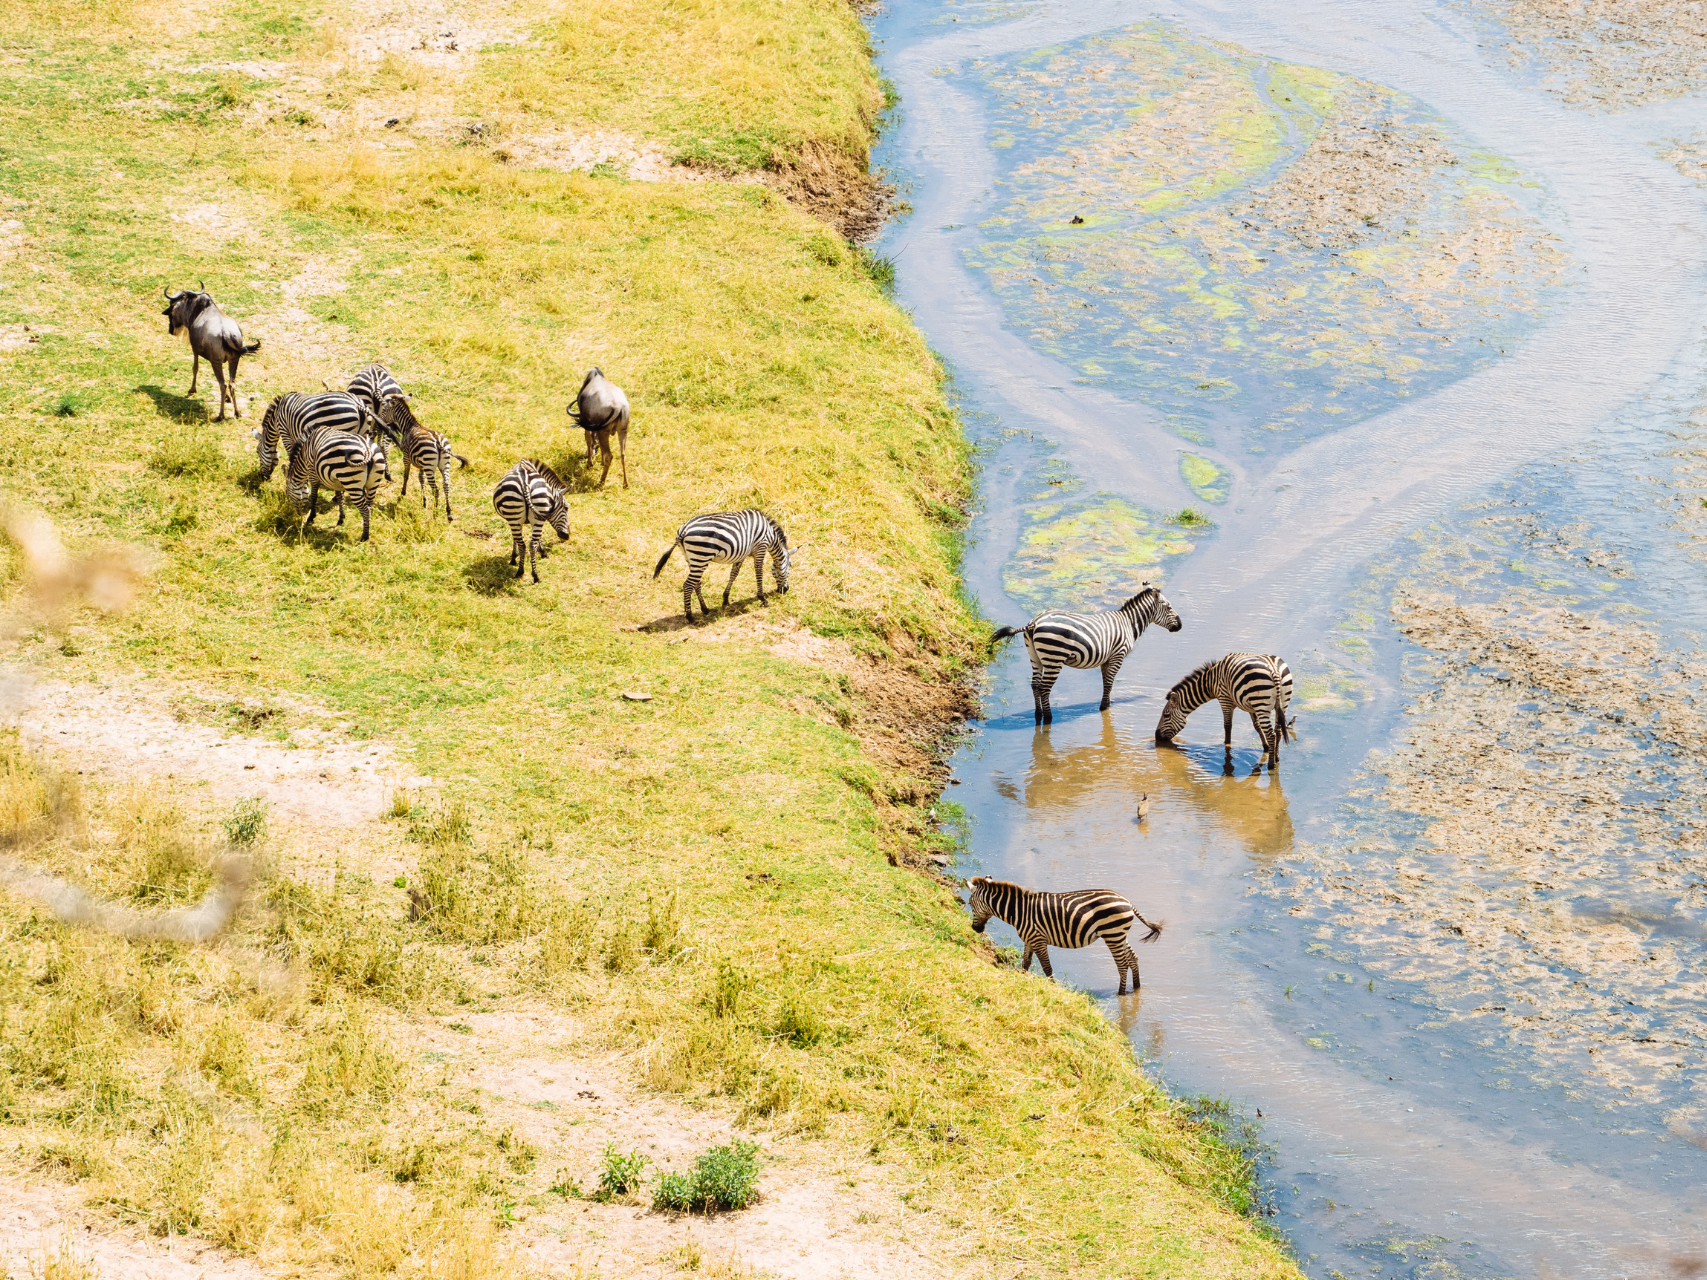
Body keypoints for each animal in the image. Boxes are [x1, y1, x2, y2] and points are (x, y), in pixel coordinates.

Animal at [652, 510, 790, 624]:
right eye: (789, 569)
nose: (785, 590)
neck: (770, 535)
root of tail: (684, 529)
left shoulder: (742, 553)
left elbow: (734, 573)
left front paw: (725, 599)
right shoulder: (761, 547)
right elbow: (759, 573)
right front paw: (763, 599)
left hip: (691, 558)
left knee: (696, 583)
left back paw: (705, 609)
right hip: (701, 556)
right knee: (688, 585)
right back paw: (690, 617)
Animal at [966, 875, 1163, 995]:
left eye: (969, 903)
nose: (975, 929)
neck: (1019, 912)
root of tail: (1128, 902)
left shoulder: (1038, 939)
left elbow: (1047, 967)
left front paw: (1052, 989)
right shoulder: (1030, 939)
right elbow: (1025, 962)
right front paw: (1022, 980)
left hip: (1112, 935)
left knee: (1122, 965)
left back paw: (1120, 994)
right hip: (1119, 935)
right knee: (1133, 958)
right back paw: (1136, 989)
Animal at [991, 584, 1183, 725]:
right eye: (1169, 607)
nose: (1180, 625)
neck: (1128, 623)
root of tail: (1033, 623)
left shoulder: (1107, 659)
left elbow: (1106, 683)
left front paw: (1106, 704)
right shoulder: (1117, 655)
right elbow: (1110, 682)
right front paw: (1104, 707)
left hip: (1035, 656)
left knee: (1035, 685)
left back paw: (1038, 715)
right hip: (1054, 657)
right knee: (1044, 688)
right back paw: (1049, 717)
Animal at [1154, 652, 1295, 766]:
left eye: (1166, 715)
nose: (1156, 737)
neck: (1211, 681)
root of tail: (1274, 670)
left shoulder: (1225, 700)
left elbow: (1227, 727)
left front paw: (1226, 745)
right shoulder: (1251, 706)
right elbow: (1257, 726)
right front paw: (1266, 747)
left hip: (1261, 704)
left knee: (1271, 734)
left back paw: (1271, 765)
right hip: (1281, 703)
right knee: (1278, 731)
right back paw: (1276, 758)